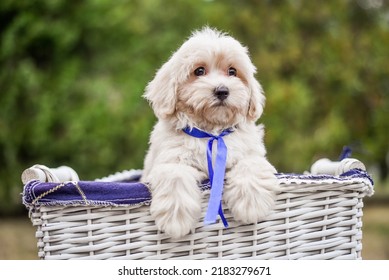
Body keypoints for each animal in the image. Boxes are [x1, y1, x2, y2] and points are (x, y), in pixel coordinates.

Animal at [141, 26, 278, 238]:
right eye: (199, 71)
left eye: (232, 71)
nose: (222, 90)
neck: (211, 132)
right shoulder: (168, 160)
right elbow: (175, 175)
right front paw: (176, 218)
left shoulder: (251, 153)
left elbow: (249, 164)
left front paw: (251, 203)